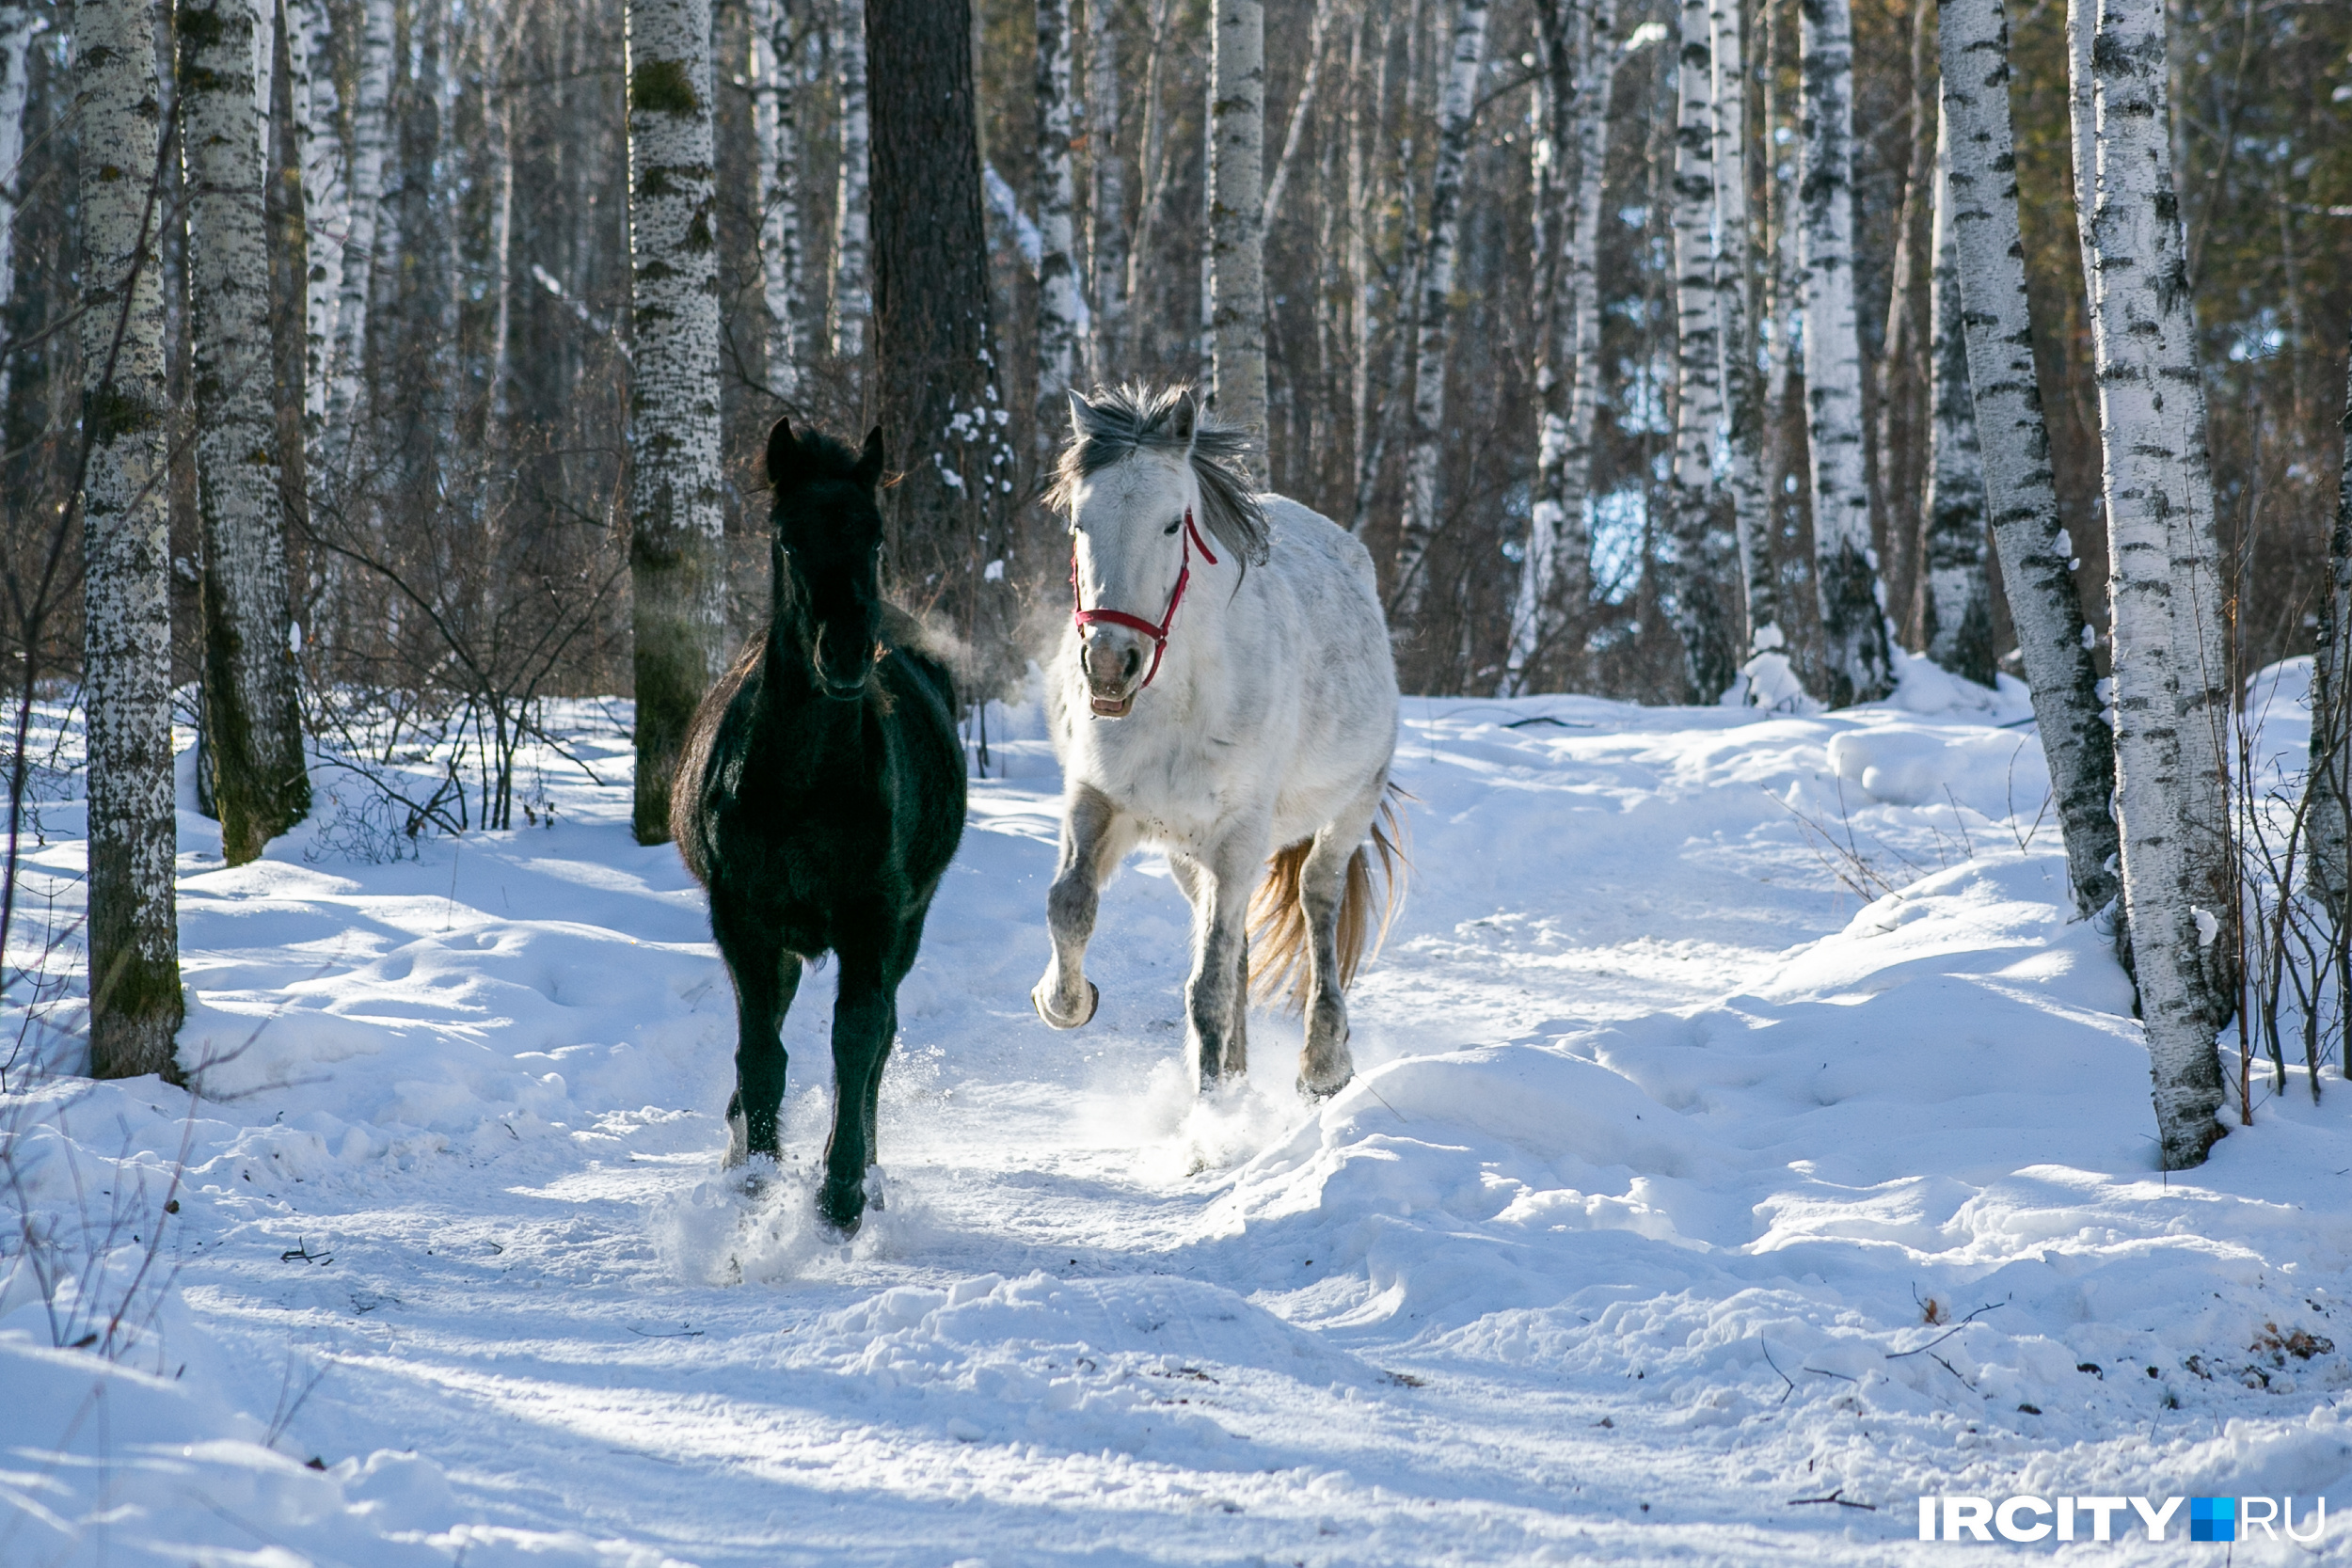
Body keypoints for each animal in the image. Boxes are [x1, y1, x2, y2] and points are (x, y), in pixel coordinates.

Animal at [673, 420, 964, 1241]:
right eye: (789, 538)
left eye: (873, 535)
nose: (844, 651)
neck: (802, 783)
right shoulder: (742, 918)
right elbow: (760, 1054)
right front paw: (756, 1178)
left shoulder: (875, 917)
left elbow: (857, 1039)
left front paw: (839, 1194)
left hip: (908, 923)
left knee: (878, 1040)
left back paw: (867, 1174)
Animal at [1030, 389, 1392, 1104]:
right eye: (1079, 522)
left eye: (1174, 524)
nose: (1109, 665)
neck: (1177, 703)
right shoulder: (1097, 801)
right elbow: (1070, 906)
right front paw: (1065, 1001)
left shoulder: (1238, 836)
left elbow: (1208, 988)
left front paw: (1210, 1122)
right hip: (1187, 854)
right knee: (1238, 947)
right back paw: (1237, 1073)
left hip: (1349, 806)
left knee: (1316, 898)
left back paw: (1322, 1062)